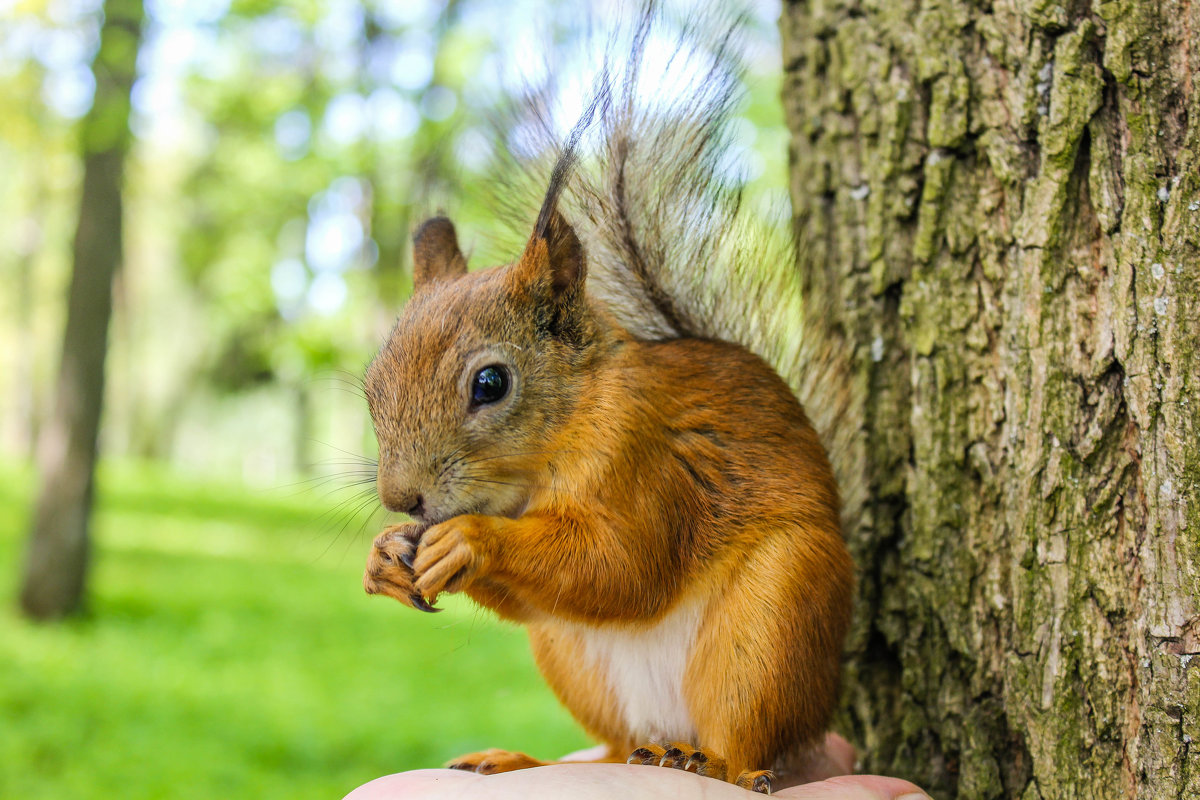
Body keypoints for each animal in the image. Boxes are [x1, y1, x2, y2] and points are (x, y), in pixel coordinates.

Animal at [355, 6, 854, 796]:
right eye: (373, 385)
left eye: (490, 384)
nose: (402, 500)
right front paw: (382, 557)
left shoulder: (643, 454)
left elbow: (622, 564)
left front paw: (469, 541)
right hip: (571, 657)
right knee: (619, 743)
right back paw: (524, 761)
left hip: (773, 620)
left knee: (748, 743)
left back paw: (712, 762)